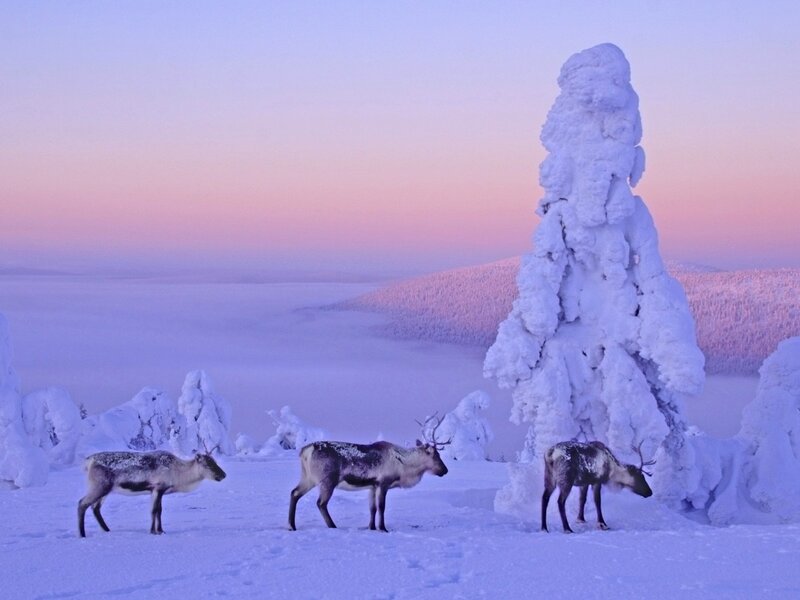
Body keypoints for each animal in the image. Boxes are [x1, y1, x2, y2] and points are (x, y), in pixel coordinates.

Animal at [77, 449, 226, 537]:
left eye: (215, 462)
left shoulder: (156, 490)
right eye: (207, 465)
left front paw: (160, 530)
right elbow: (155, 510)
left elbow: (158, 510)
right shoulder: (158, 488)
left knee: (95, 508)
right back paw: (82, 534)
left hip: (105, 490)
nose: (223, 475)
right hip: (99, 487)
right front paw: (154, 531)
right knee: (82, 504)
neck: (179, 473)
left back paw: (107, 530)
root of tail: (88, 461)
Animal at [288, 414, 450, 532]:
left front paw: (371, 527)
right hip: (327, 480)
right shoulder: (383, 483)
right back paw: (332, 526)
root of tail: (305, 451)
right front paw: (383, 528)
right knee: (321, 503)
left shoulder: (372, 486)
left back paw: (291, 526)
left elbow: (372, 508)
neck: (404, 467)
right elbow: (381, 507)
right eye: (436, 455)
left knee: (294, 493)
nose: (445, 470)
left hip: (308, 477)